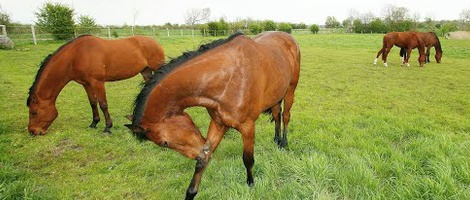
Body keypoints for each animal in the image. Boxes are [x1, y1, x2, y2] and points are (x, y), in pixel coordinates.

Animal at [26, 35, 165, 135]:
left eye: (34, 112)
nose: (32, 131)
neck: (77, 55)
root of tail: (155, 42)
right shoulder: (86, 84)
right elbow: (93, 102)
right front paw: (94, 123)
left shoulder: (97, 82)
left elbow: (103, 104)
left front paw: (108, 127)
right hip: (145, 71)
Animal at [126, 31, 302, 200]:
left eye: (165, 143)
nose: (200, 151)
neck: (227, 78)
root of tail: (288, 37)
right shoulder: (218, 123)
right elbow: (203, 162)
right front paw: (191, 192)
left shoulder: (247, 126)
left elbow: (248, 159)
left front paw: (251, 184)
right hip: (275, 95)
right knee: (276, 113)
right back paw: (276, 139)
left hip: (290, 90)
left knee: (285, 116)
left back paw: (283, 142)